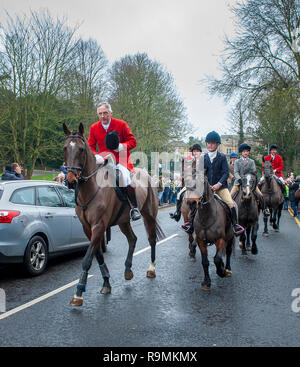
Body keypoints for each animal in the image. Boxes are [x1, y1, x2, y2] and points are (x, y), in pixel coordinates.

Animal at [63, 123, 165, 308]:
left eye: (81, 149)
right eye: (65, 148)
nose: (71, 180)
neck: (91, 189)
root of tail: (147, 174)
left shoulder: (99, 226)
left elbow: (87, 259)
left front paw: (79, 292)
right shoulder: (88, 228)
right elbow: (97, 255)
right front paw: (106, 283)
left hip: (149, 215)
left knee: (152, 239)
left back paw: (151, 269)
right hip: (123, 221)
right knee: (132, 239)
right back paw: (128, 270)